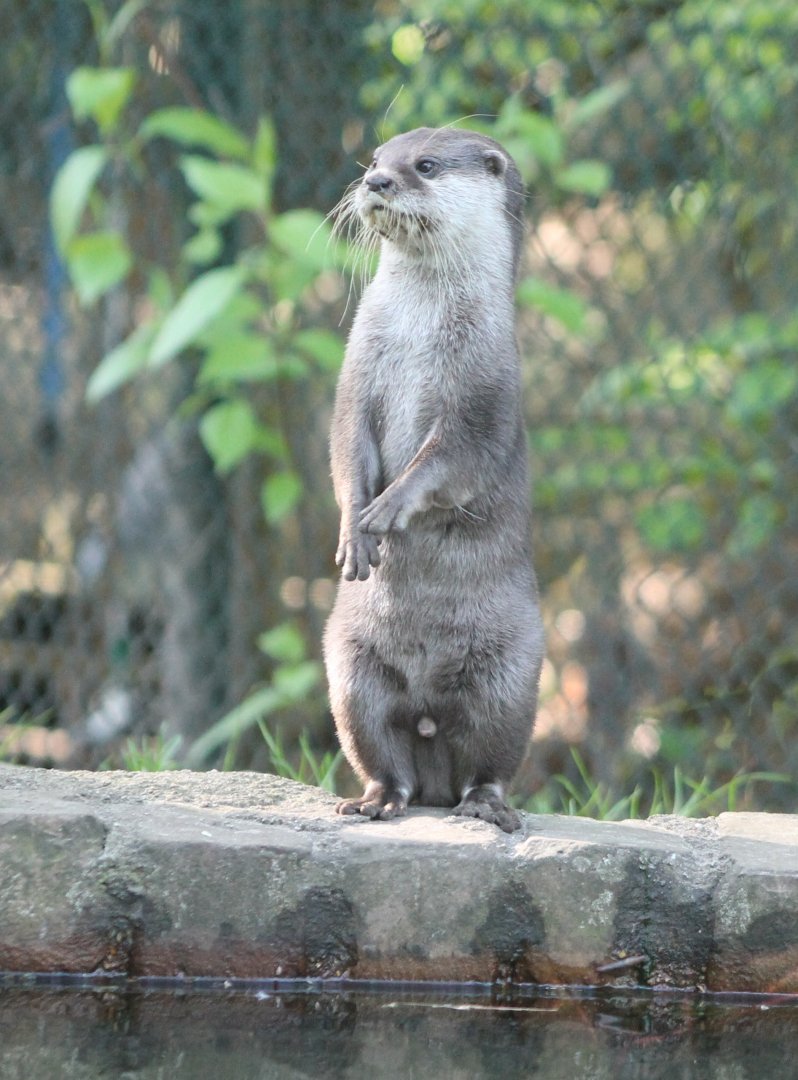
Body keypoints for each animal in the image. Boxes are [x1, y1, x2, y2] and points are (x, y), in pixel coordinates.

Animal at [323, 127, 544, 833]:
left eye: (424, 165)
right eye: (375, 158)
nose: (377, 181)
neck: (421, 331)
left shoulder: (486, 390)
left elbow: (454, 462)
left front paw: (387, 511)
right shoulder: (357, 371)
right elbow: (345, 448)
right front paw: (354, 529)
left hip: (510, 674)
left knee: (491, 755)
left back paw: (484, 806)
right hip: (350, 668)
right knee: (380, 748)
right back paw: (373, 800)